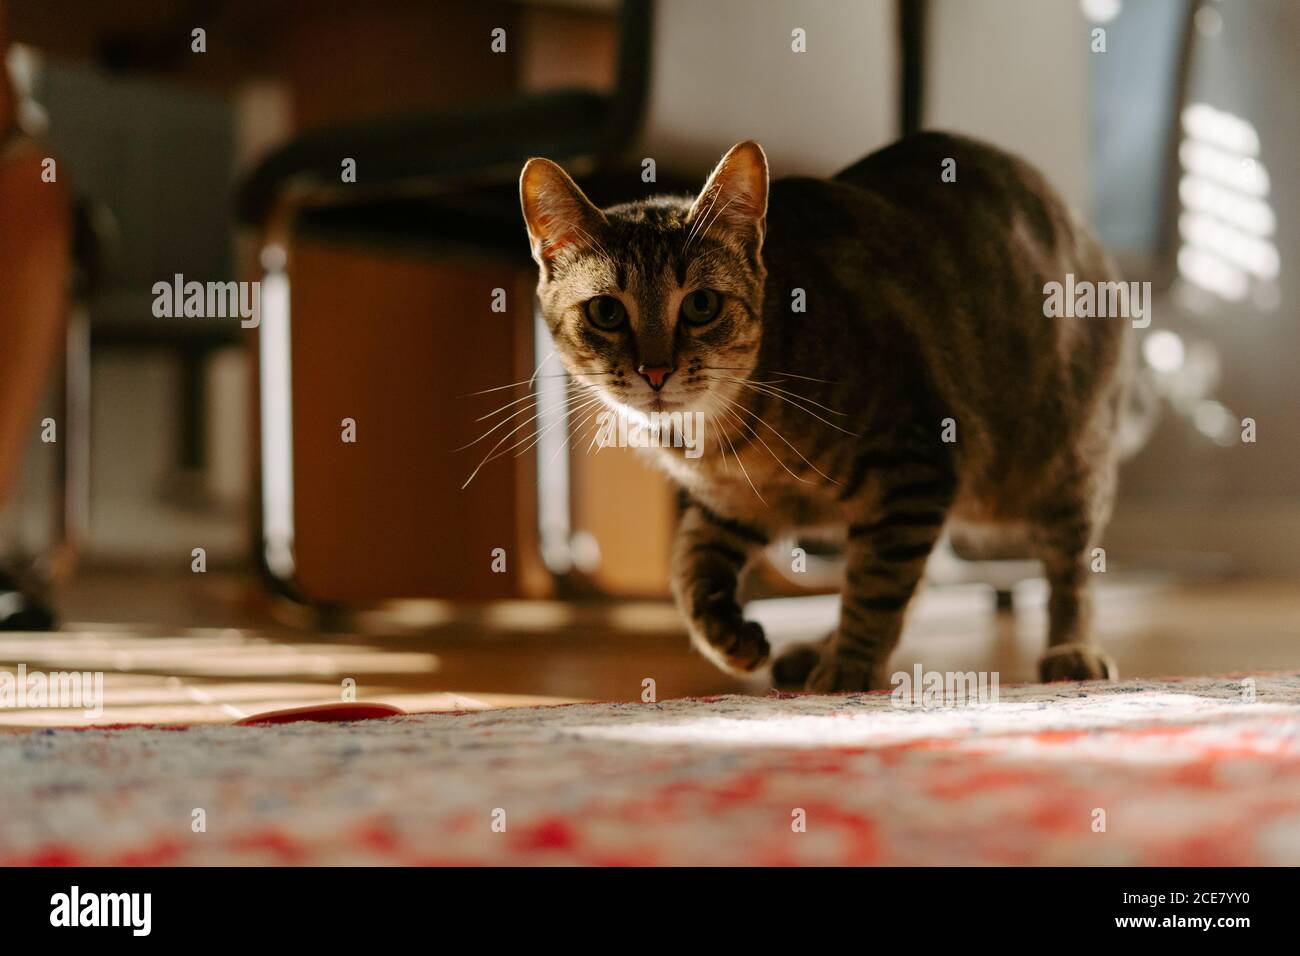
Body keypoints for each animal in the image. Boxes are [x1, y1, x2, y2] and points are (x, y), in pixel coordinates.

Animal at [522, 130, 1133, 691]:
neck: (718, 439)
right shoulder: (731, 505)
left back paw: (1071, 650)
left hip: (1064, 463)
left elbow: (876, 587)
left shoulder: (912, 466)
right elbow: (689, 566)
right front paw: (730, 636)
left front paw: (849, 669)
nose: (655, 371)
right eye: (606, 312)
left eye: (700, 305)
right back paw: (816, 646)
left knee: (1071, 571)